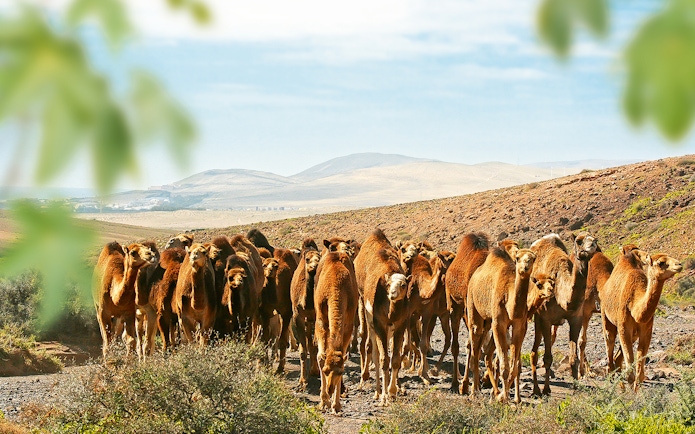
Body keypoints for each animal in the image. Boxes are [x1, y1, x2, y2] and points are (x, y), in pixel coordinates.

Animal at [314, 251, 359, 414]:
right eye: (325, 370)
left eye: (340, 372)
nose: (330, 388)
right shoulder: (321, 319)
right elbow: (320, 356)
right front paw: (323, 402)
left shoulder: (348, 324)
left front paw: (336, 405)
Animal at [353, 228, 409, 406]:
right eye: (389, 285)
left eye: (403, 285)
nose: (392, 294)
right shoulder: (380, 325)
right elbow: (384, 359)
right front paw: (385, 396)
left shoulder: (400, 326)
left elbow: (395, 359)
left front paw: (392, 392)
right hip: (365, 310)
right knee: (373, 350)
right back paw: (375, 391)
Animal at [466, 240, 536, 403]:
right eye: (517, 258)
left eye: (533, 258)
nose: (525, 267)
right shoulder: (498, 323)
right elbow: (504, 366)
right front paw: (503, 398)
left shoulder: (520, 325)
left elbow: (514, 367)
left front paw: (505, 396)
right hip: (473, 306)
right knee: (475, 349)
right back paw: (474, 392)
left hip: (487, 321)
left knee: (484, 352)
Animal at [529, 232, 597, 396]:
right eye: (579, 241)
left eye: (595, 239)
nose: (592, 245)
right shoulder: (545, 318)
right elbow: (547, 358)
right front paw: (546, 389)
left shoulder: (576, 318)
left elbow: (574, 358)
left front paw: (576, 387)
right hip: (537, 317)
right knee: (534, 352)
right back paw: (536, 390)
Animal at [600, 245, 682, 390]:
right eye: (661, 263)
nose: (679, 264)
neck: (635, 306)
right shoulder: (623, 327)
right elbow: (631, 369)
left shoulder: (646, 330)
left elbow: (640, 369)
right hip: (606, 316)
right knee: (609, 346)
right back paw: (615, 383)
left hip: (633, 334)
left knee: (617, 358)